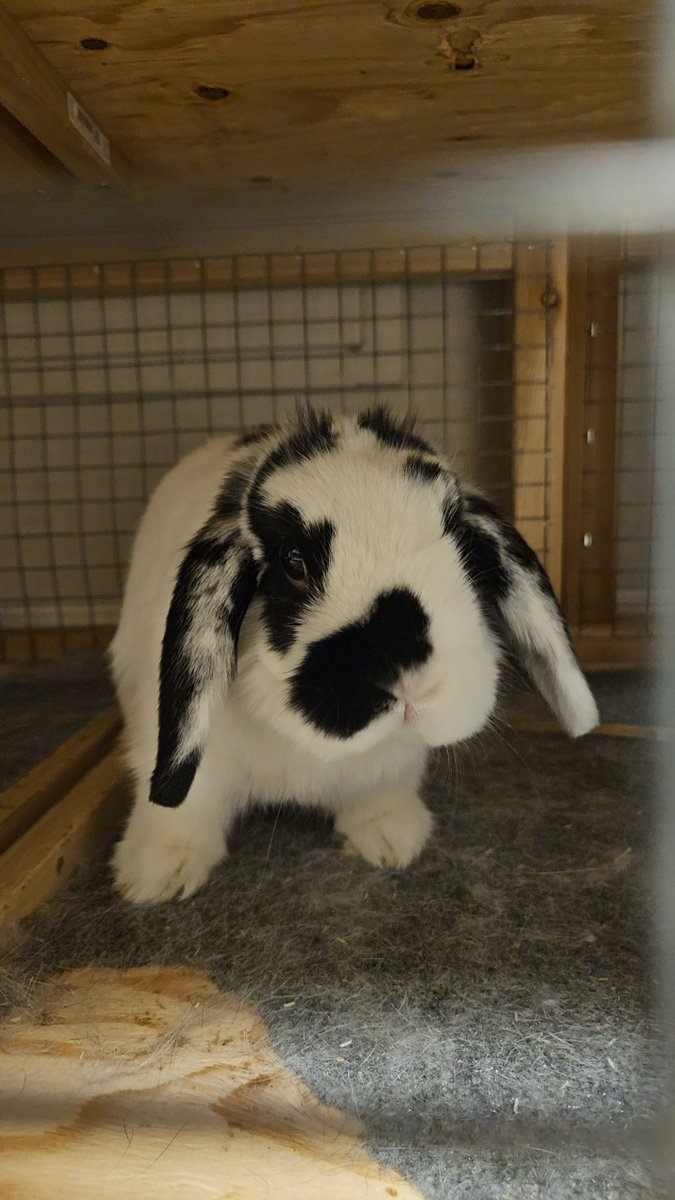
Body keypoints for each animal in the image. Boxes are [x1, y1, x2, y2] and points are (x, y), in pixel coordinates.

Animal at [110, 405, 598, 904]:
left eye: (461, 546)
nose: (412, 683)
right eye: (293, 561)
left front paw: (392, 840)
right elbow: (182, 807)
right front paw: (157, 874)